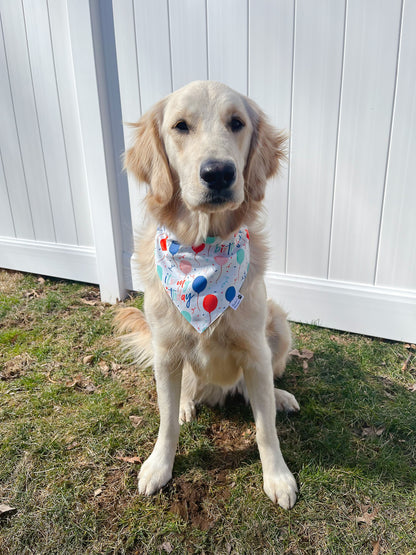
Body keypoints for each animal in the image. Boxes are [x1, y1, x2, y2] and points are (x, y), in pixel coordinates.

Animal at [114, 80, 300, 510]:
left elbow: (266, 429)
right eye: (180, 126)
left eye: (237, 123)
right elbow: (165, 421)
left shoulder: (255, 351)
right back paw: (186, 403)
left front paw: (277, 477)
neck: (202, 253)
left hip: (278, 323)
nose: (218, 173)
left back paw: (278, 396)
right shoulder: (167, 352)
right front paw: (159, 465)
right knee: (185, 392)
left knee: (257, 392)